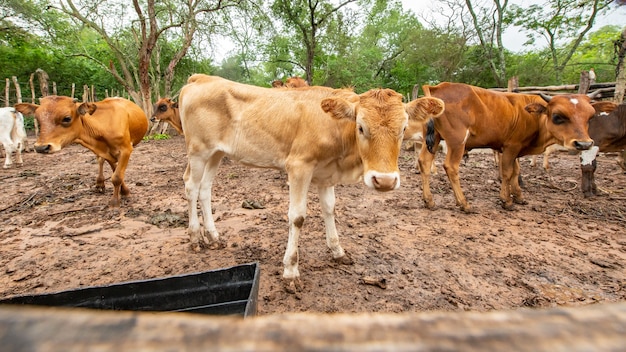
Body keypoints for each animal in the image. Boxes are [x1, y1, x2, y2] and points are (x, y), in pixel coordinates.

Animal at [15, 96, 147, 206]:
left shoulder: (126, 149)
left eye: (67, 118)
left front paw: (116, 200)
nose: (41, 147)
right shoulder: (105, 152)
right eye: (37, 119)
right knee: (100, 161)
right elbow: (114, 171)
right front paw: (122, 192)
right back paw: (100, 183)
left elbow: (117, 176)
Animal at [177, 75, 444, 292]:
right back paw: (195, 237)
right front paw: (291, 271)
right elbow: (297, 217)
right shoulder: (298, 166)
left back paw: (213, 236)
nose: (385, 181)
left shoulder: (326, 173)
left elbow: (330, 209)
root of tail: (201, 78)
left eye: (403, 128)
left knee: (205, 189)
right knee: (191, 186)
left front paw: (337, 251)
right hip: (198, 150)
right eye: (361, 127)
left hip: (217, 153)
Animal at [414, 82, 608, 212]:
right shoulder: (511, 146)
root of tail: (437, 88)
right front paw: (506, 200)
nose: (584, 143)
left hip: (433, 140)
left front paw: (519, 196)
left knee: (424, 162)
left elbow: (516, 171)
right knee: (451, 167)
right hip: (457, 142)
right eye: (558, 116)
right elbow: (507, 172)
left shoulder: (516, 149)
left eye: (590, 116)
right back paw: (464, 203)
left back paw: (429, 201)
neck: (532, 115)